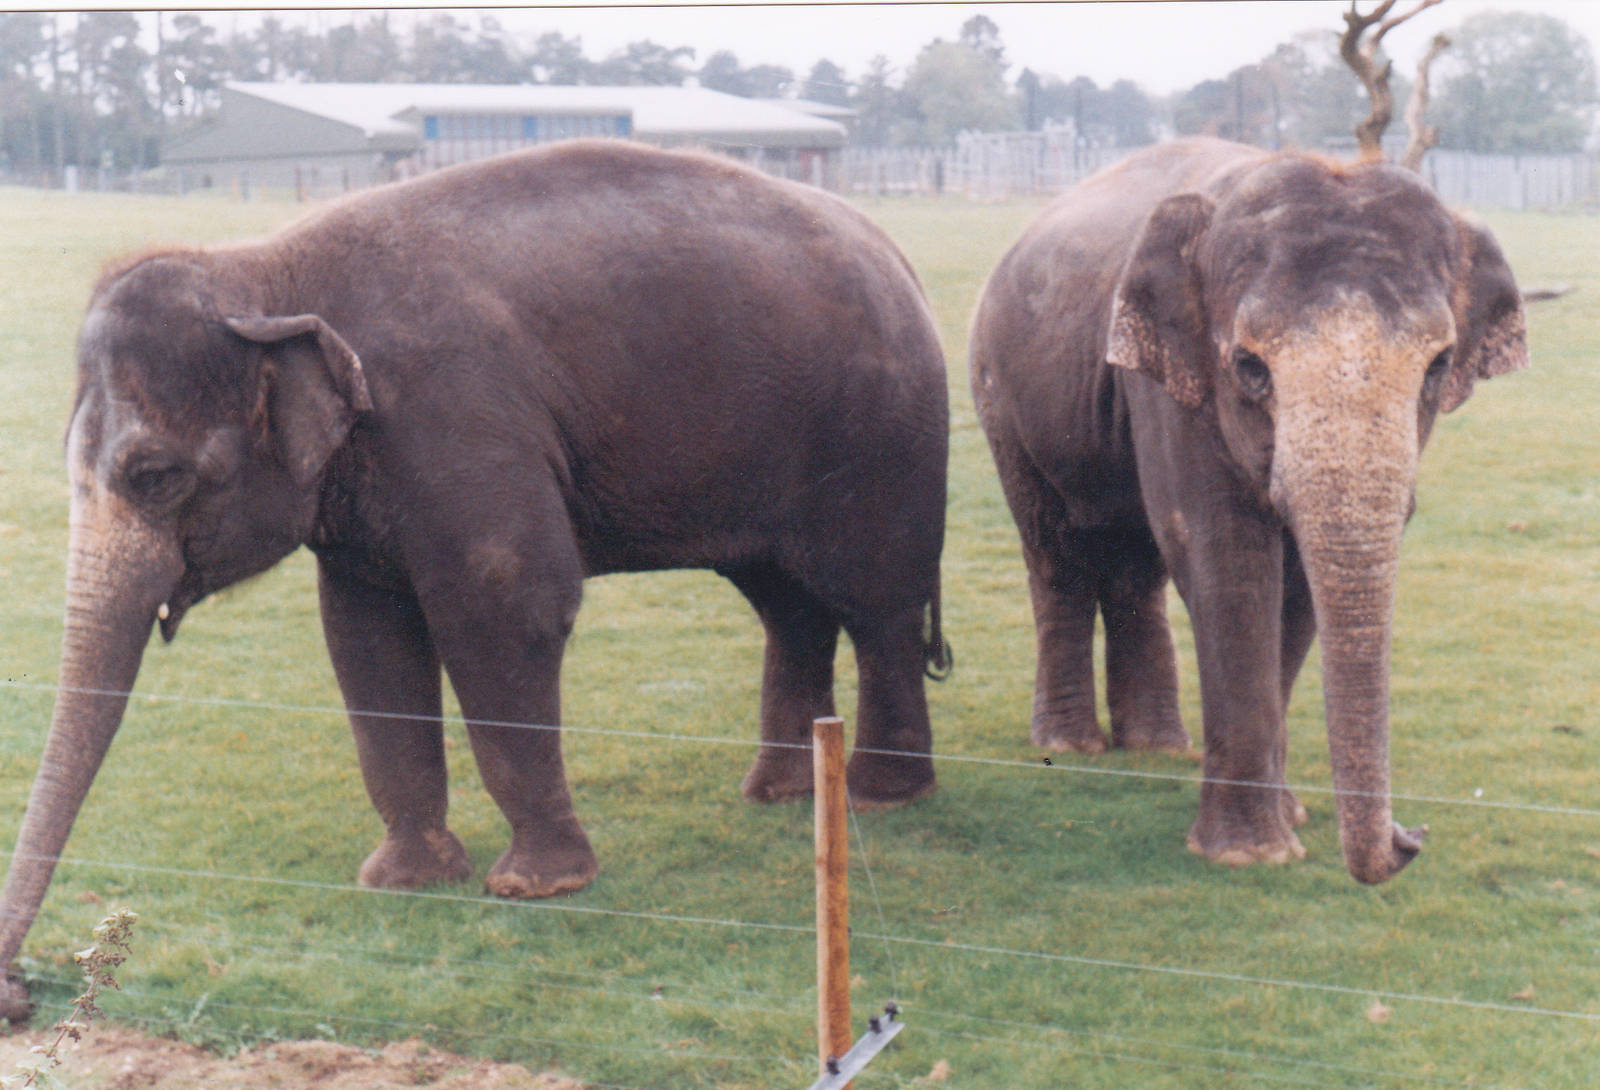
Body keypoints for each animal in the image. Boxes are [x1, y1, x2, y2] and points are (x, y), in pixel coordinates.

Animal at [0, 140, 951, 1018]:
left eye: (155, 477)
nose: (19, 993)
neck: (265, 269)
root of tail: (894, 249)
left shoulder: (455, 414)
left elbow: (508, 606)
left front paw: (537, 888)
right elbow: (366, 638)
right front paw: (404, 880)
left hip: (880, 436)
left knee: (876, 603)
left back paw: (880, 797)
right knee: (787, 604)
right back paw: (781, 794)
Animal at [969, 138, 1527, 885]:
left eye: (1437, 367)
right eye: (1249, 367)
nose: (1411, 837)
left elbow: (1297, 590)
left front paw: (1291, 818)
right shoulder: (1174, 383)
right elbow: (1225, 559)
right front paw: (1249, 852)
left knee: (1135, 563)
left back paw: (1156, 747)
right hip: (998, 394)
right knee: (1055, 550)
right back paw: (1073, 743)